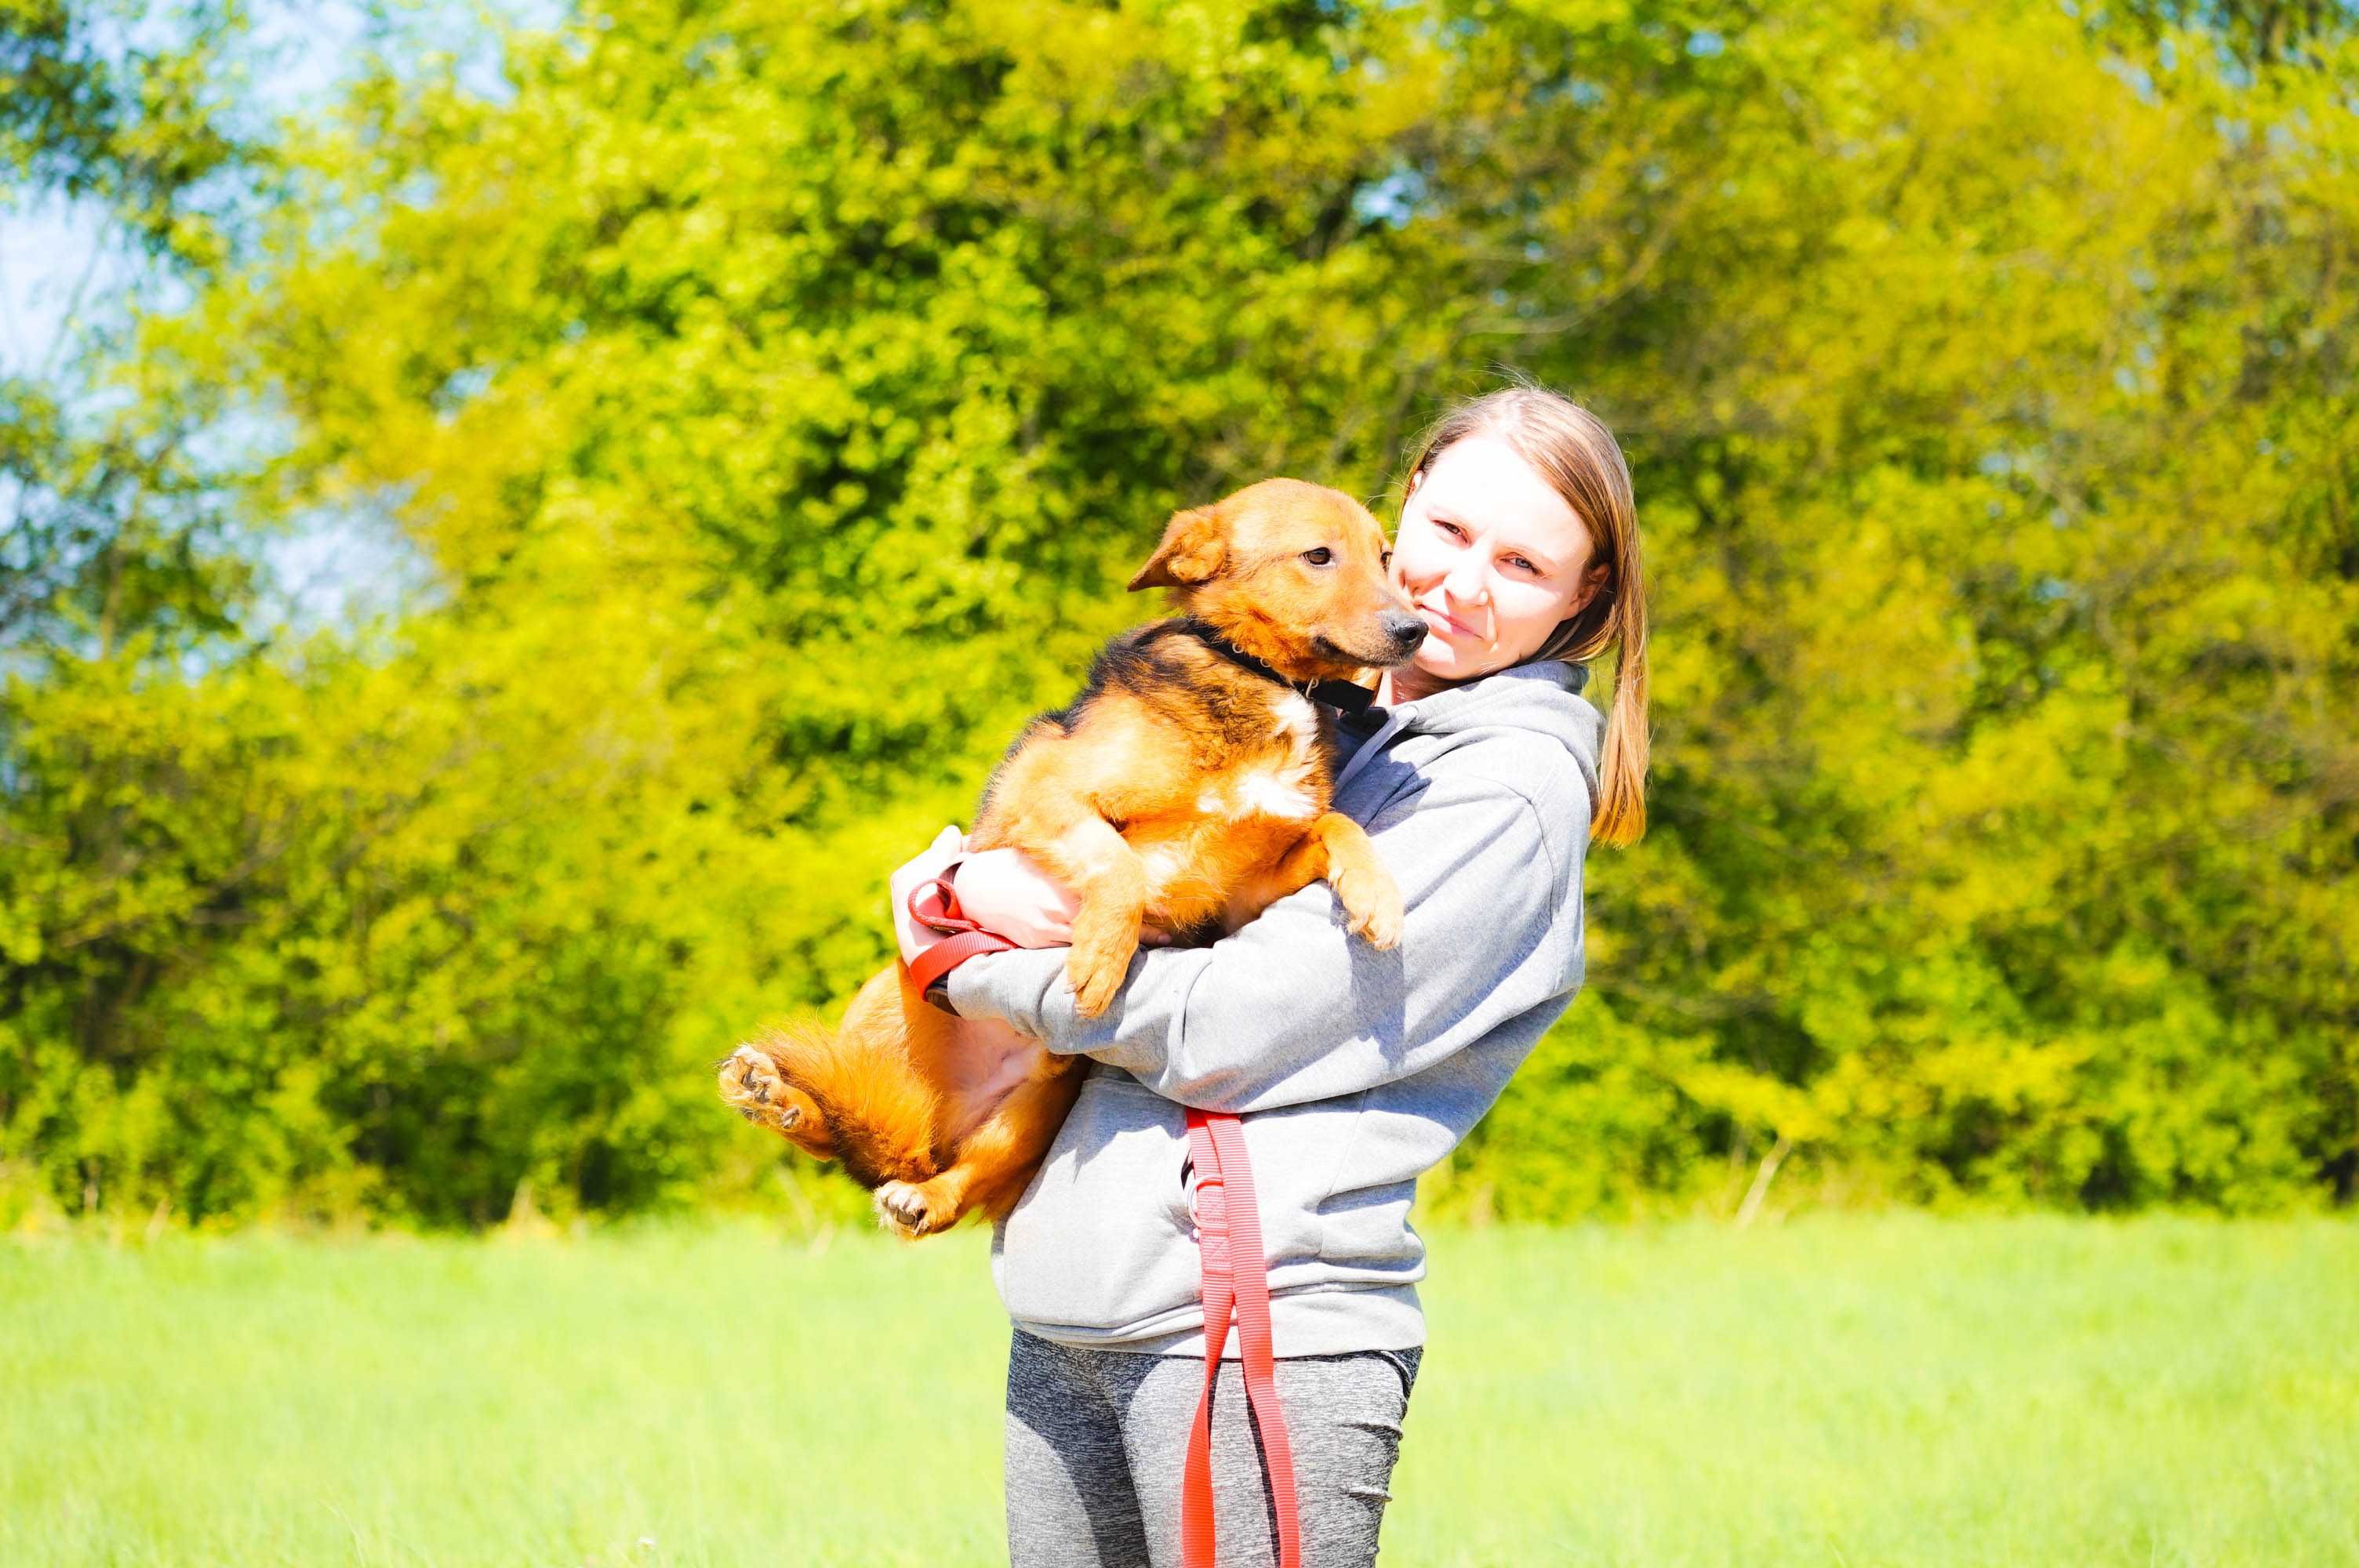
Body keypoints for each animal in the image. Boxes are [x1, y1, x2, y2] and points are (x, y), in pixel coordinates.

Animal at [712, 476, 1415, 1235]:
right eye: (1319, 556)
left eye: (1384, 556)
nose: (1417, 629)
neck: (1263, 676)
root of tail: (943, 1126)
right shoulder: (1046, 788)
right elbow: (1121, 867)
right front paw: (1104, 955)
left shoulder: (1241, 892)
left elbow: (1337, 825)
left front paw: (1377, 894)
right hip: (881, 1003)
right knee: (850, 1134)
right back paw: (777, 1096)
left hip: (1037, 1105)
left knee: (939, 1180)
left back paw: (906, 1182)